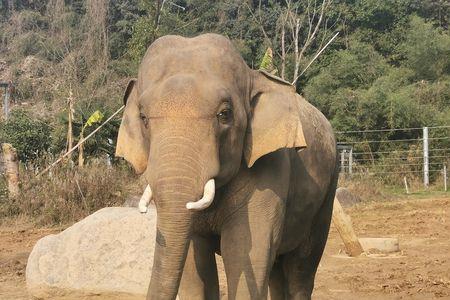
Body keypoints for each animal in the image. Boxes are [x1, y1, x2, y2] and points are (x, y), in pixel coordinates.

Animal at [116, 33, 338, 300]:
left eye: (224, 114)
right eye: (143, 118)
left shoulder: (270, 167)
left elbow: (244, 250)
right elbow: (194, 261)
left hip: (327, 193)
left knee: (301, 269)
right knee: (277, 269)